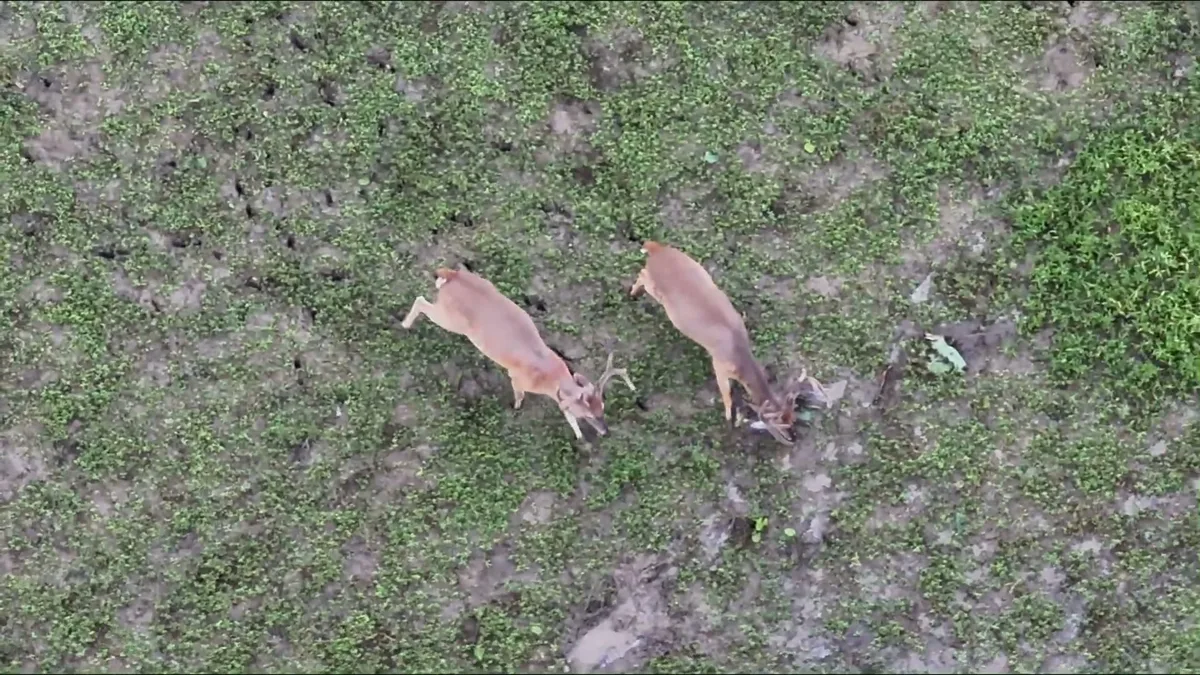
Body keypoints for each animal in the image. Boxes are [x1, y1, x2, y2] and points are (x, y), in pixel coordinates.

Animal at [401, 266, 636, 440]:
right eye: (587, 414)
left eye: (602, 407)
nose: (606, 431)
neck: (549, 378)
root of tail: (451, 275)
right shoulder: (517, 377)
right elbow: (520, 396)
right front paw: (515, 409)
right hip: (452, 319)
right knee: (421, 300)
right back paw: (404, 325)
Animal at [629, 240, 829, 444]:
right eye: (780, 426)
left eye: (792, 418)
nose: (794, 438)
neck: (738, 352)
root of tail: (657, 250)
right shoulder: (719, 364)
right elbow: (726, 395)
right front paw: (728, 418)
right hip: (655, 288)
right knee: (642, 274)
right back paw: (632, 293)